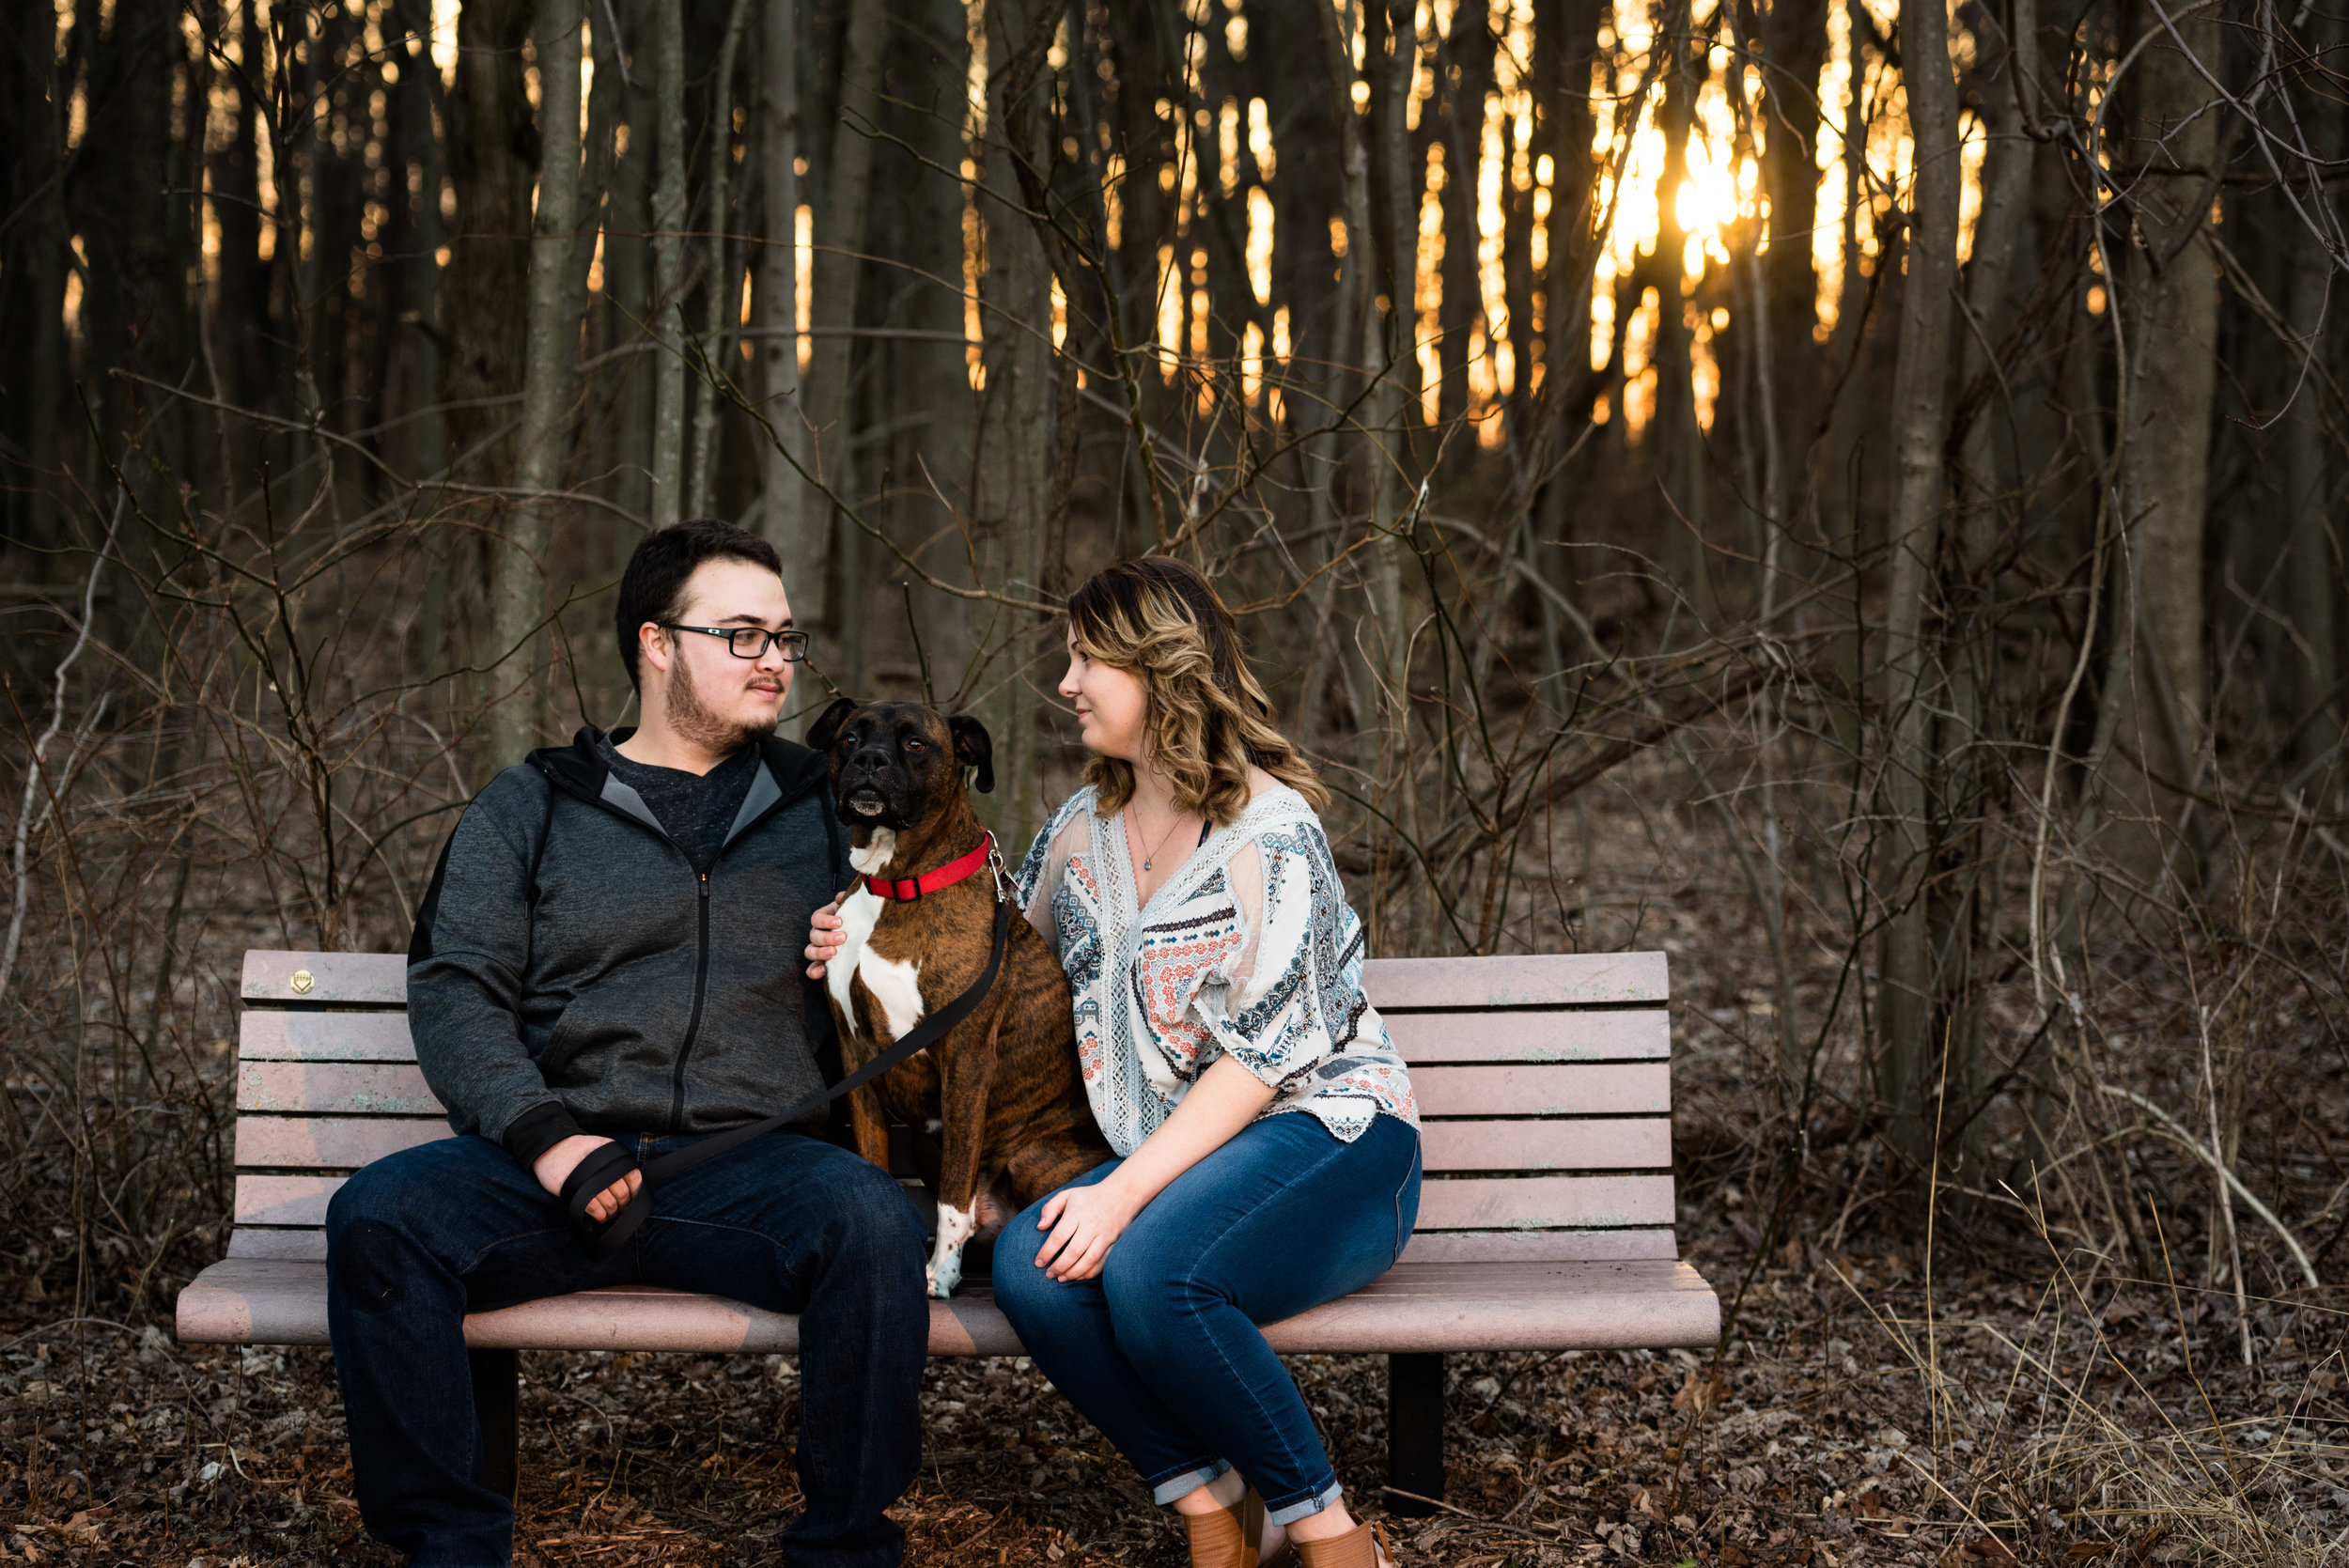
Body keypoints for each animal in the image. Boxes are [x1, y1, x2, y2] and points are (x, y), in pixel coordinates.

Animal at [808, 699, 1109, 1296]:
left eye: (916, 744)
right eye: (849, 737)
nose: (869, 759)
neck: (896, 884)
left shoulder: (966, 1061)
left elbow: (953, 1198)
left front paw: (939, 1273)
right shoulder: (857, 1056)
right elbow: (876, 1164)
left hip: (1029, 1158)